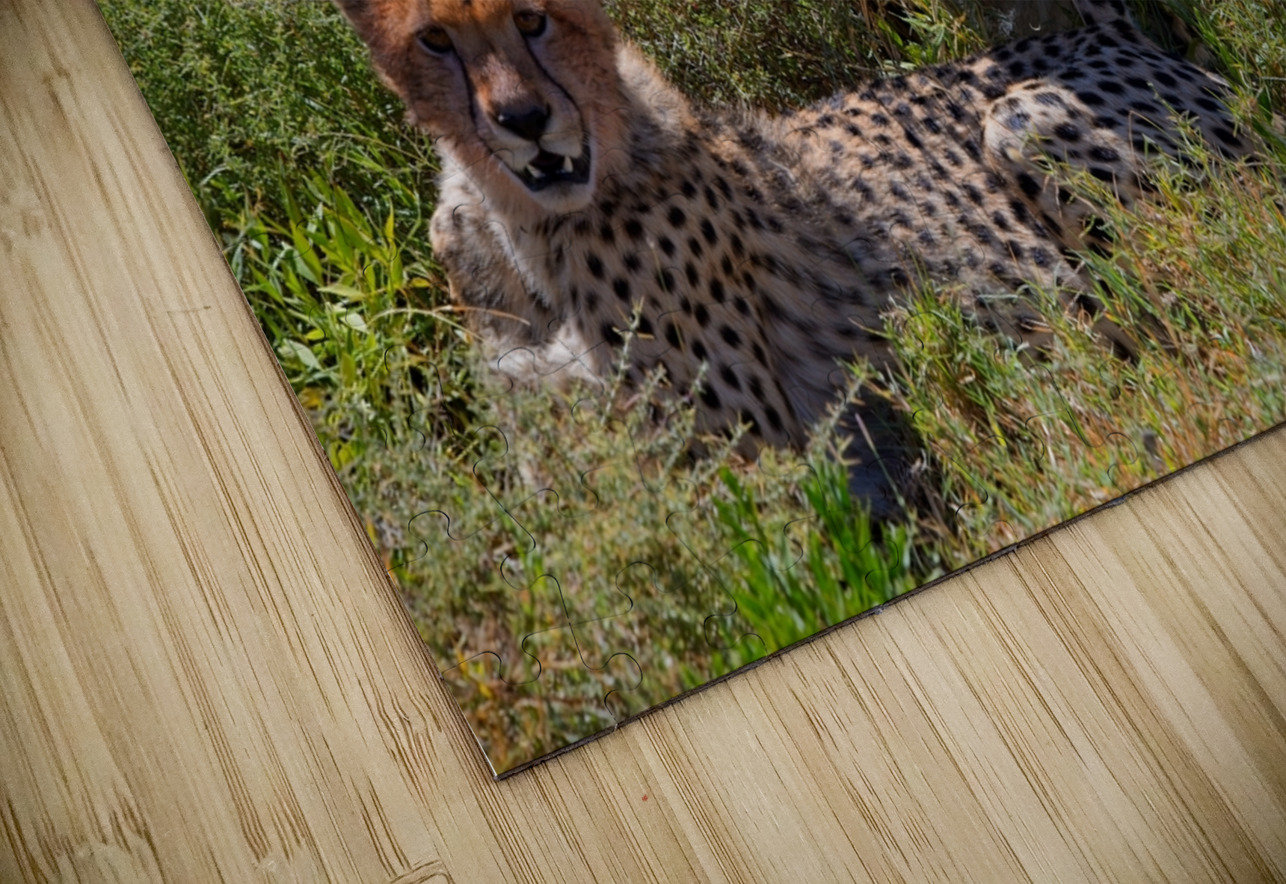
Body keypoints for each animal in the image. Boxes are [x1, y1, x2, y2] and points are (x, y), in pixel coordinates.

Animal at [334, 0, 1254, 512]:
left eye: (533, 20)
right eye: (436, 40)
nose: (524, 121)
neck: (524, 225)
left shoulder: (764, 467)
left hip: (1026, 119)